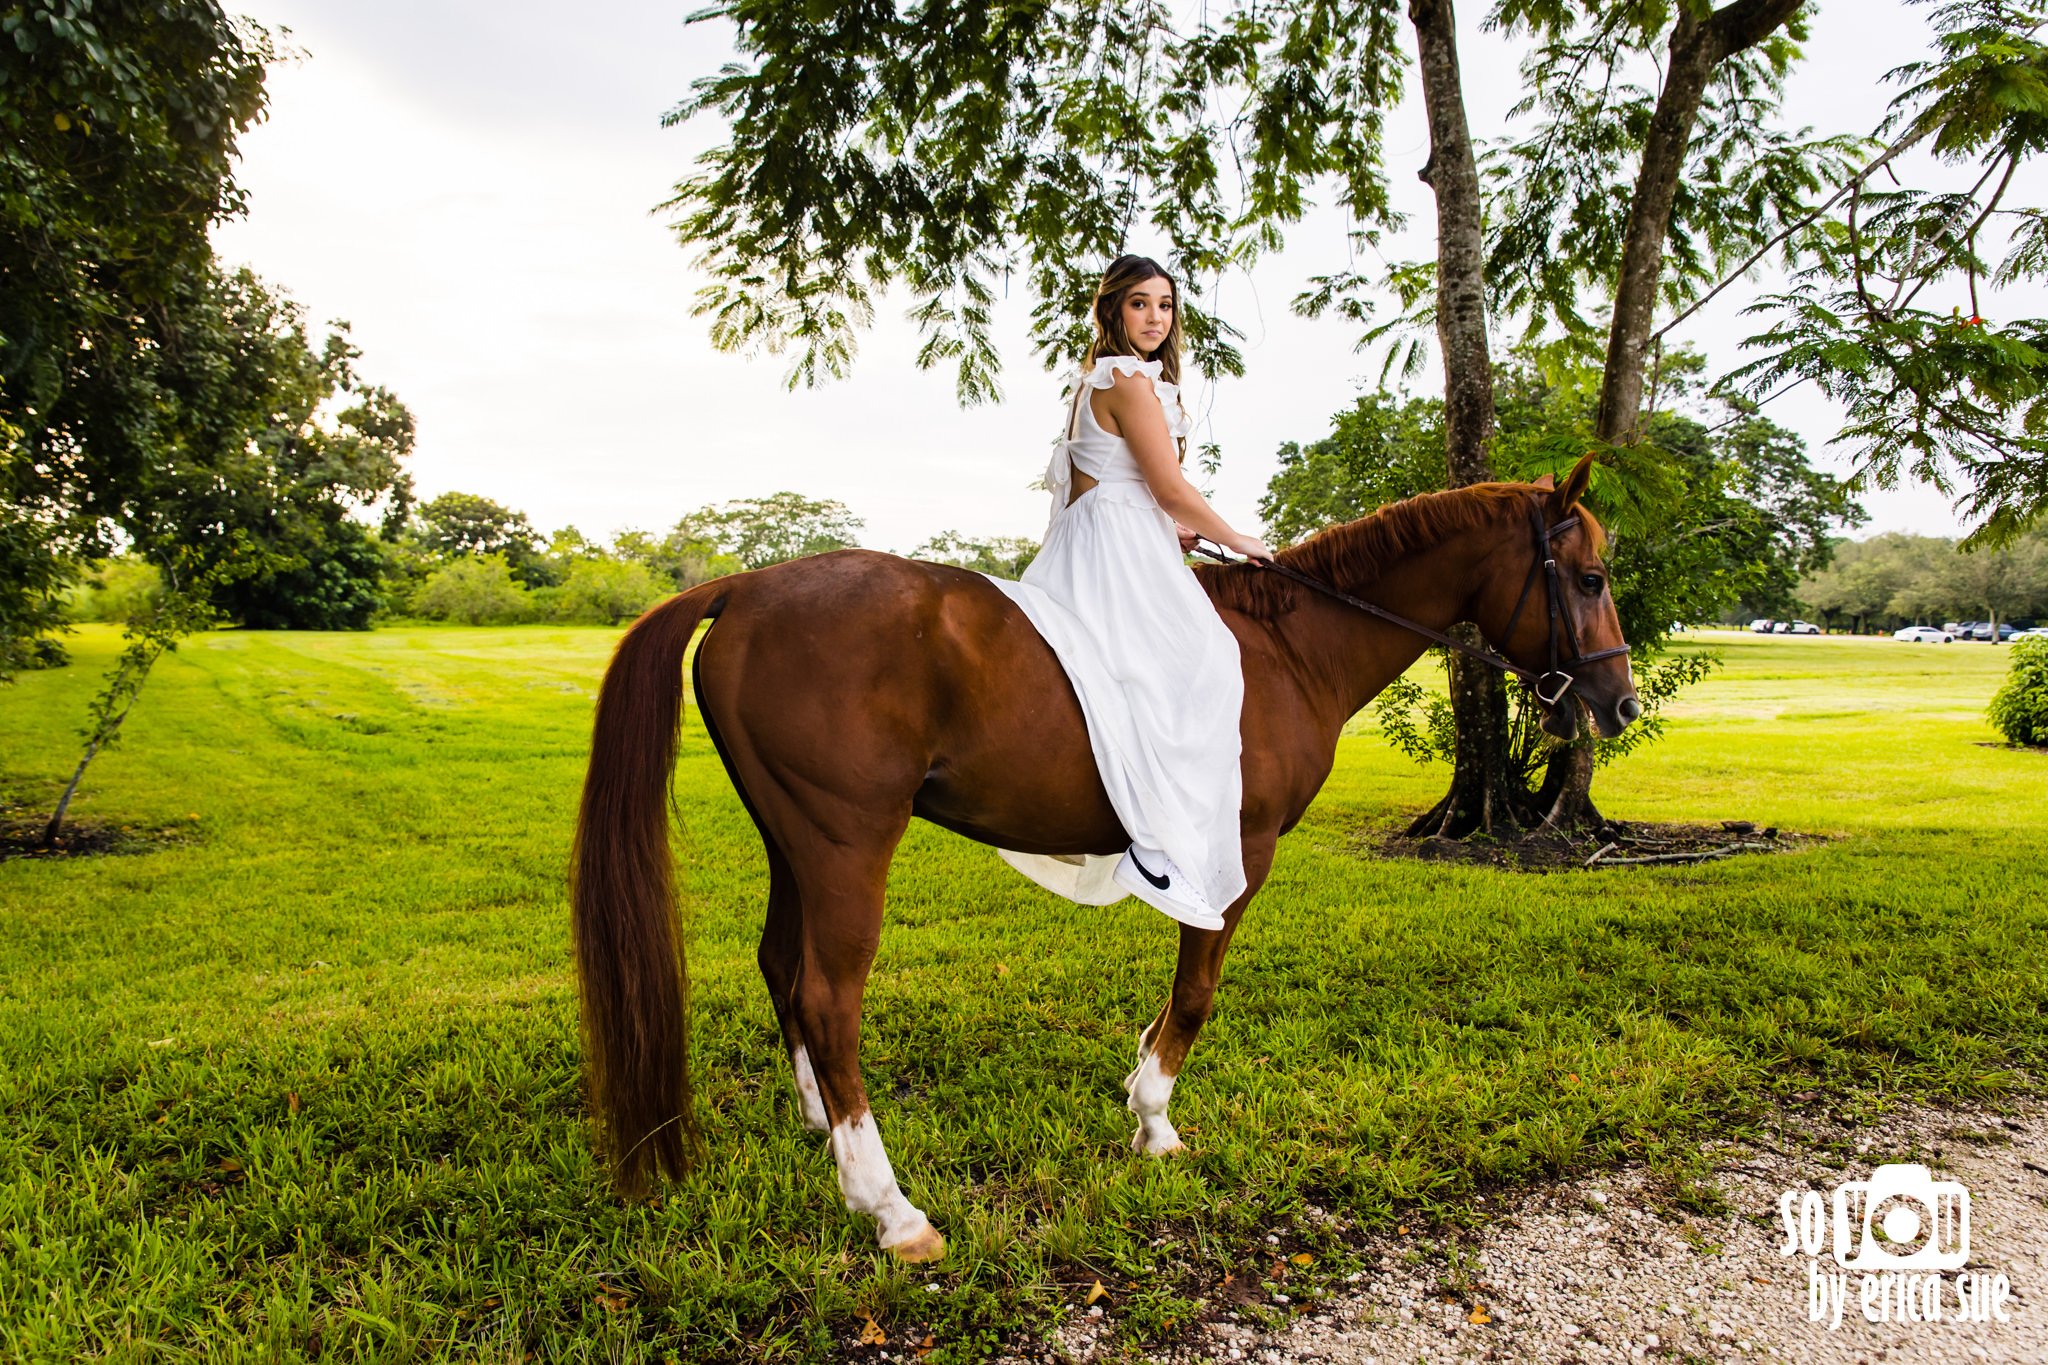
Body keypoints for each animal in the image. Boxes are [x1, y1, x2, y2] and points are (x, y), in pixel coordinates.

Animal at [569, 454, 1638, 1268]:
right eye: (1587, 578)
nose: (1620, 703)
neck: (1285, 646)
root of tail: (745, 585)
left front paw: (1138, 1089)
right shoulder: (1238, 849)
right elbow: (1197, 990)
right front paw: (1155, 1121)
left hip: (792, 839)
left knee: (780, 968)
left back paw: (821, 1129)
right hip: (846, 844)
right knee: (829, 997)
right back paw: (888, 1205)